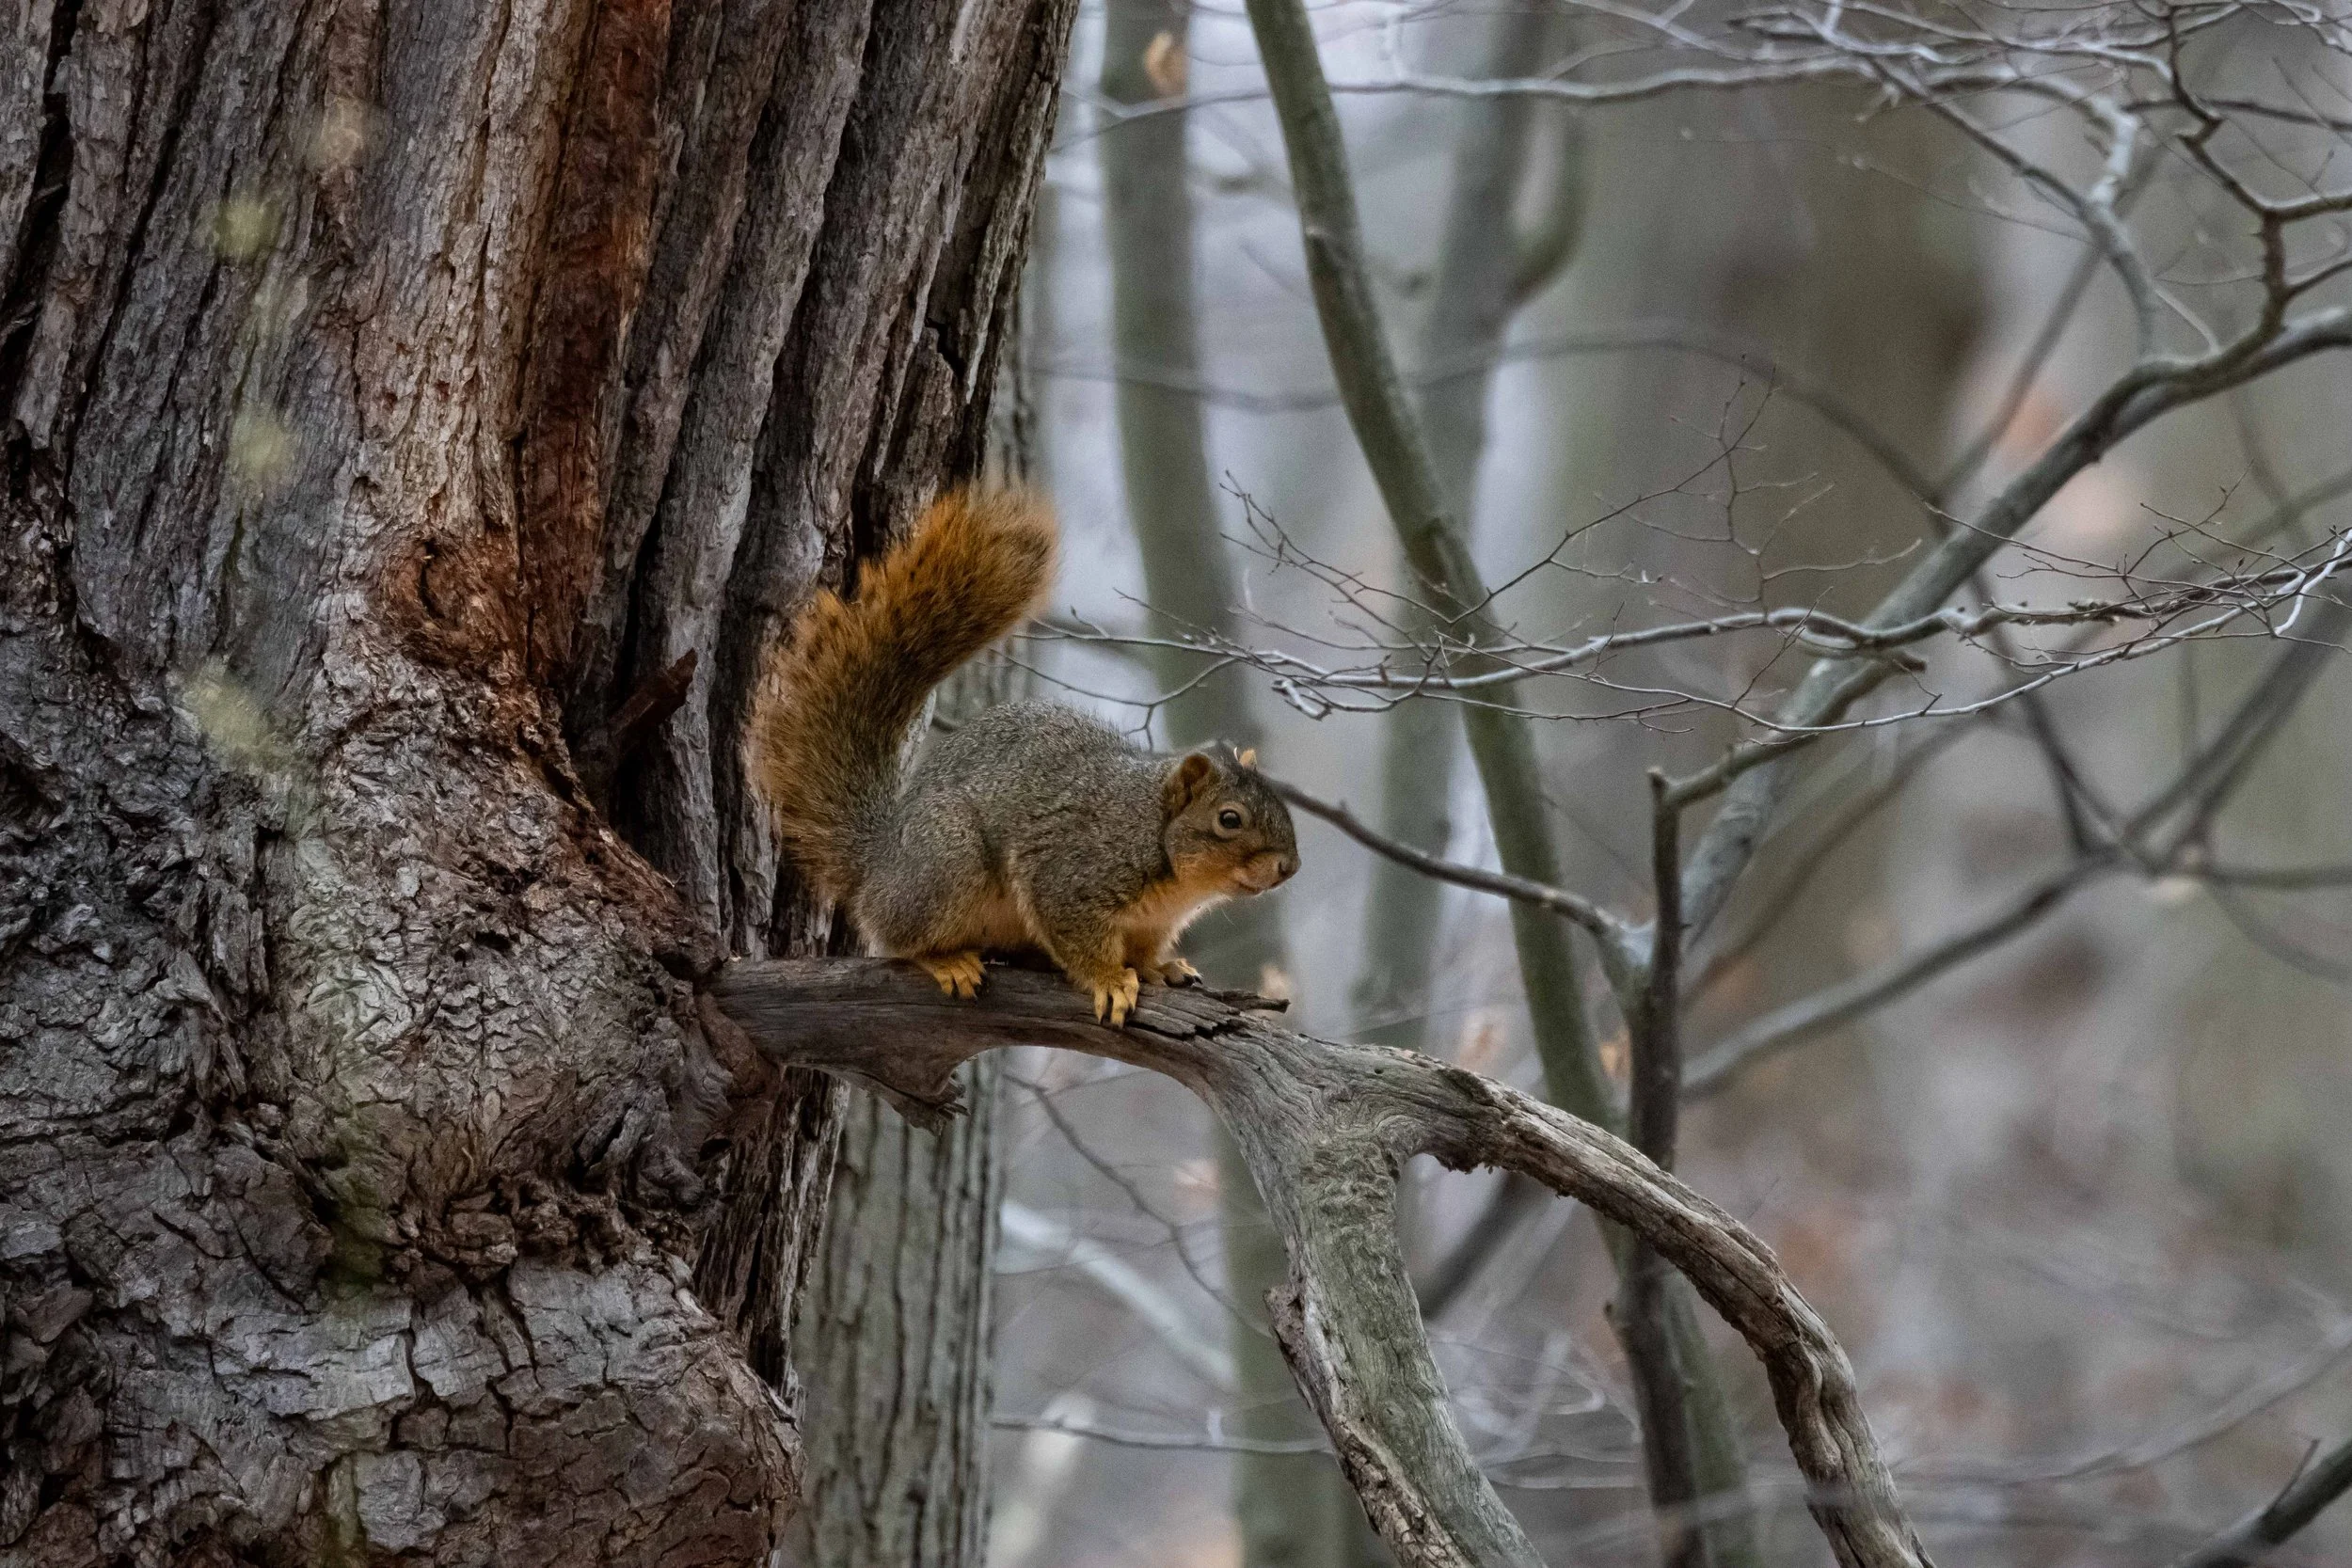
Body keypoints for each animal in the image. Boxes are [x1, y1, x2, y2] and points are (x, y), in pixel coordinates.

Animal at [749, 489, 1299, 1025]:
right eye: (1229, 819)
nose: (1289, 868)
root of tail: (877, 865)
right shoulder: (1068, 879)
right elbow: (1078, 937)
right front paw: (1109, 980)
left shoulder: (1152, 923)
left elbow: (1144, 952)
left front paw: (1160, 968)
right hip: (946, 862)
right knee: (896, 936)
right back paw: (945, 960)